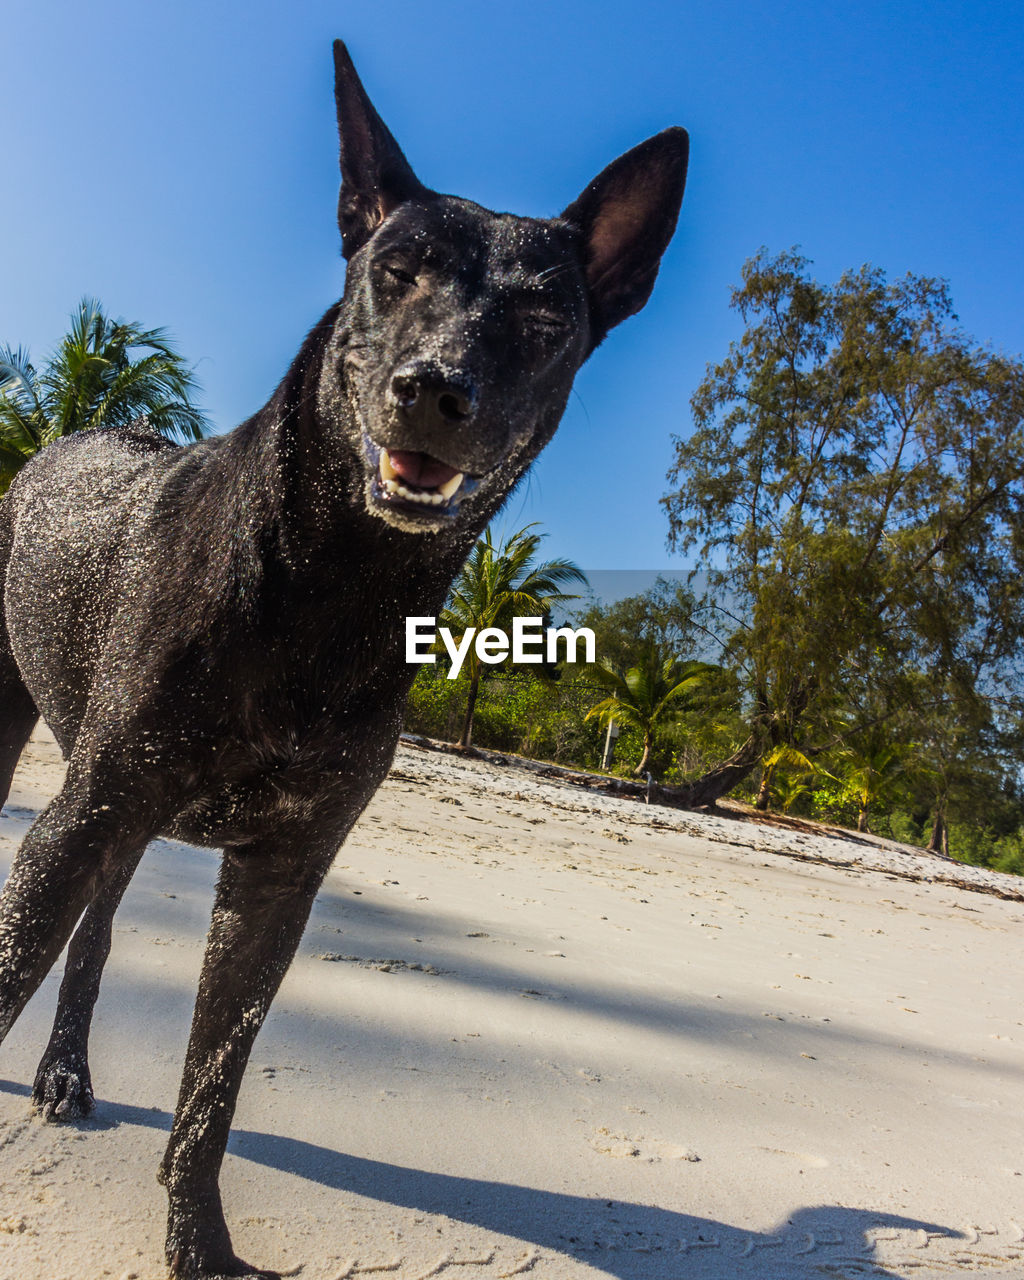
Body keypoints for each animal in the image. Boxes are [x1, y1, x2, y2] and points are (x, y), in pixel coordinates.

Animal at [0, 40, 686, 1280]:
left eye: (544, 316)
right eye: (397, 270)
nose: (435, 388)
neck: (324, 589)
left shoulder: (281, 877)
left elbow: (210, 1098)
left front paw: (199, 1248)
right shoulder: (78, 824)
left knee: (99, 937)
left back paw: (68, 1069)